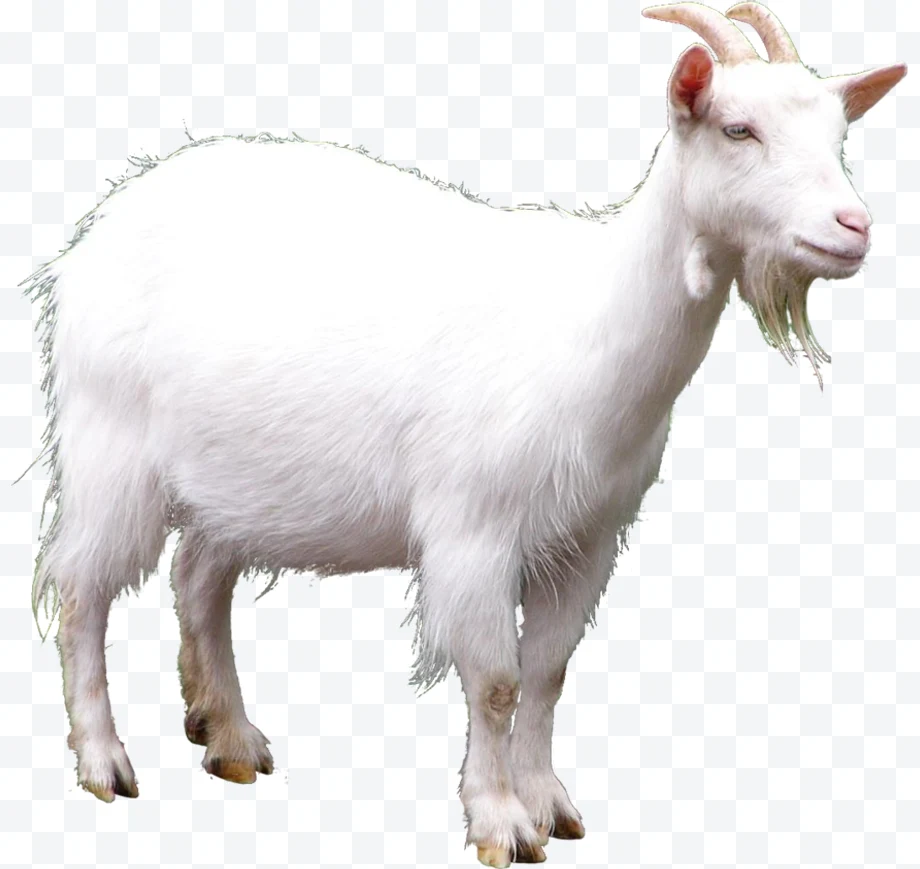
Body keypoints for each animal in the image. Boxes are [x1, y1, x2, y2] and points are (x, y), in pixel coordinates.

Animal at [24, 2, 905, 866]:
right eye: (737, 129)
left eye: (839, 135)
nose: (854, 227)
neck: (591, 318)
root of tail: (100, 227)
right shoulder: (475, 528)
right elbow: (496, 680)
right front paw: (499, 821)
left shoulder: (588, 536)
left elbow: (547, 672)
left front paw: (550, 805)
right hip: (110, 444)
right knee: (81, 588)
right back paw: (103, 759)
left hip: (234, 477)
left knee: (199, 579)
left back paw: (231, 738)